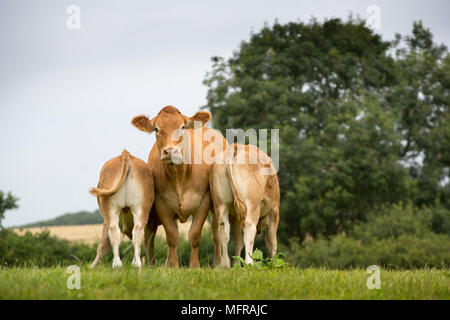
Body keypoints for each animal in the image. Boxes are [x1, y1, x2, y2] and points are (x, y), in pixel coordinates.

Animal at [132, 105, 227, 268]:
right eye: (157, 129)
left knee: (216, 233)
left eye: (182, 127)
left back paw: (218, 263)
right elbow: (172, 235)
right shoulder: (161, 202)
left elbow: (195, 234)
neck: (179, 176)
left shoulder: (204, 200)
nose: (170, 151)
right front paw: (173, 265)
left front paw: (194, 266)